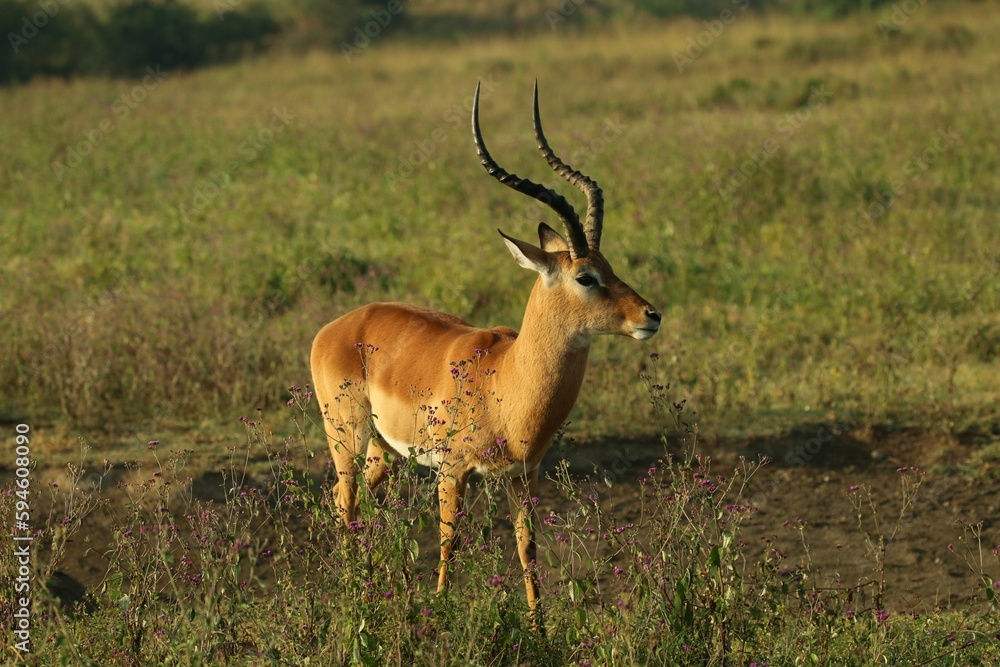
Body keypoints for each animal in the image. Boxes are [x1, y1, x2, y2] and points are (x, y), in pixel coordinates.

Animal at [310, 82, 660, 624]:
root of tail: (339, 326)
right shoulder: (452, 472)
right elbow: (448, 543)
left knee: (360, 498)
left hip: (382, 448)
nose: (651, 315)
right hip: (345, 433)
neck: (506, 379)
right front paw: (440, 613)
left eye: (612, 265)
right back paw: (353, 600)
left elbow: (527, 548)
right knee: (344, 499)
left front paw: (539, 629)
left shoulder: (523, 476)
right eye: (586, 277)